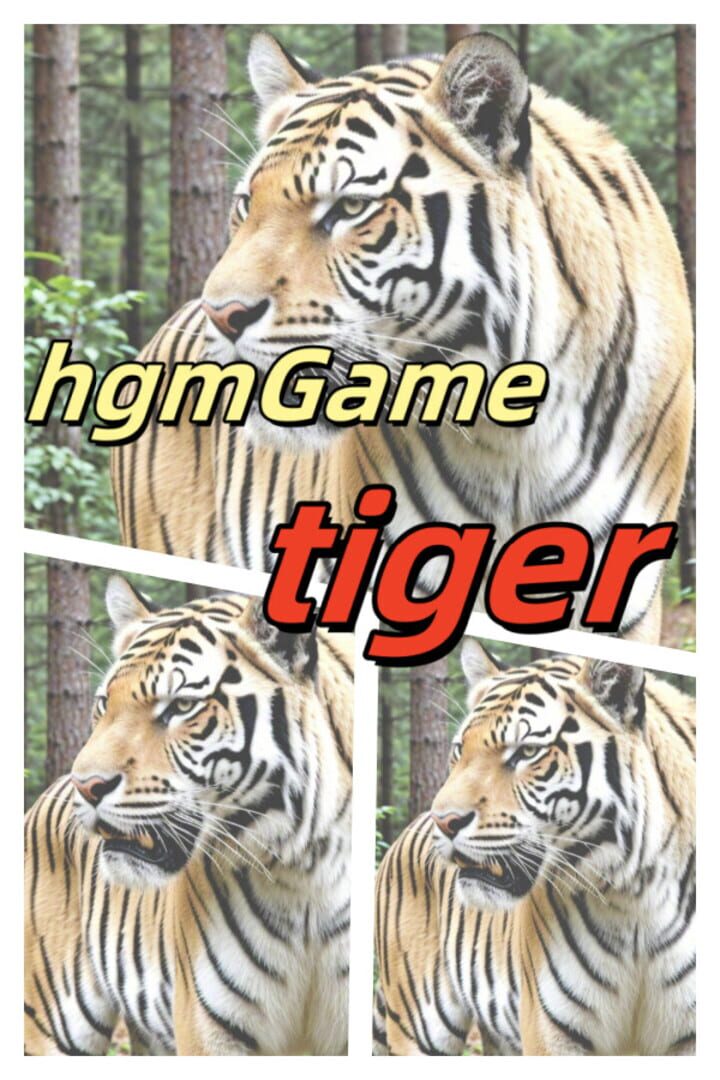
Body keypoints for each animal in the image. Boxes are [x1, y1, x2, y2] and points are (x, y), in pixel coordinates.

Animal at [373, 640, 695, 1055]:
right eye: (460, 749)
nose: (443, 821)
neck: (632, 898)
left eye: (526, 752)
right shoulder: (551, 1035)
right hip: (418, 1027)